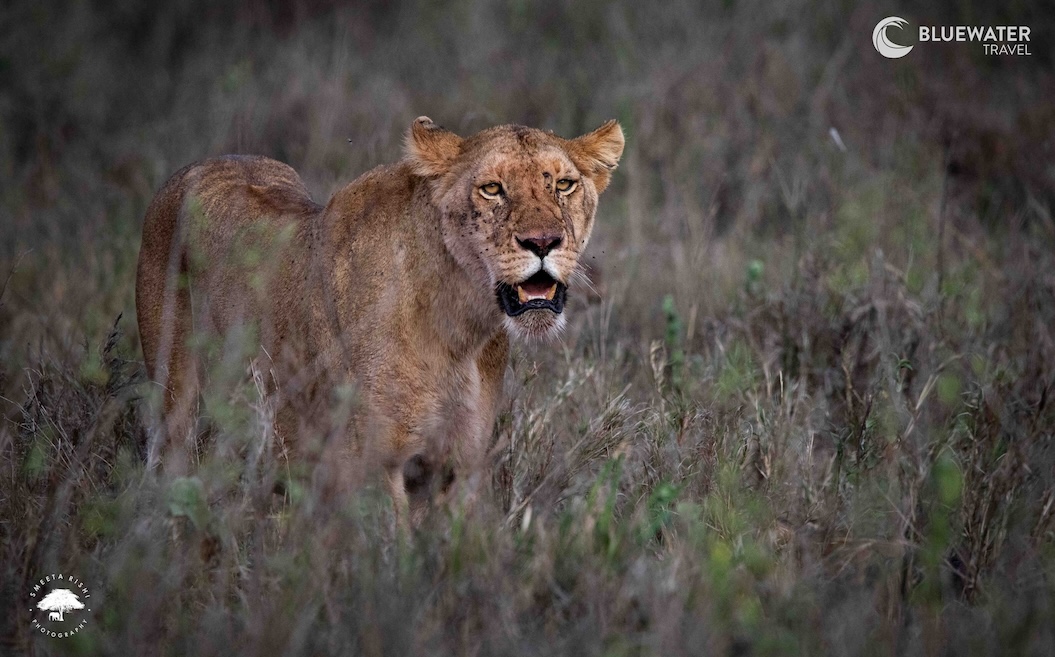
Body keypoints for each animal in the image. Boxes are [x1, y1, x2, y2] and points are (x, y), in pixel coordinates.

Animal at [136, 116, 624, 524]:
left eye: (564, 184)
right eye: (491, 189)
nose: (542, 242)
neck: (458, 328)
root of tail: (201, 163)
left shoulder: (456, 466)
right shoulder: (372, 465)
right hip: (174, 398)